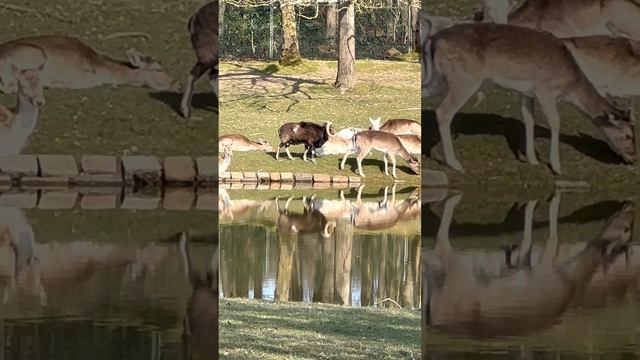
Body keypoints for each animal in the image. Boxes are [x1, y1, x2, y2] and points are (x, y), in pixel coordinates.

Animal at [422, 22, 636, 174]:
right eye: (628, 135)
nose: (634, 157)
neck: (570, 85)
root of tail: (433, 39)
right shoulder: (545, 90)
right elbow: (555, 122)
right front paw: (556, 167)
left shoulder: (526, 93)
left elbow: (529, 120)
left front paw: (533, 160)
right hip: (464, 80)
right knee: (443, 112)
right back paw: (454, 163)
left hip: (438, 80)